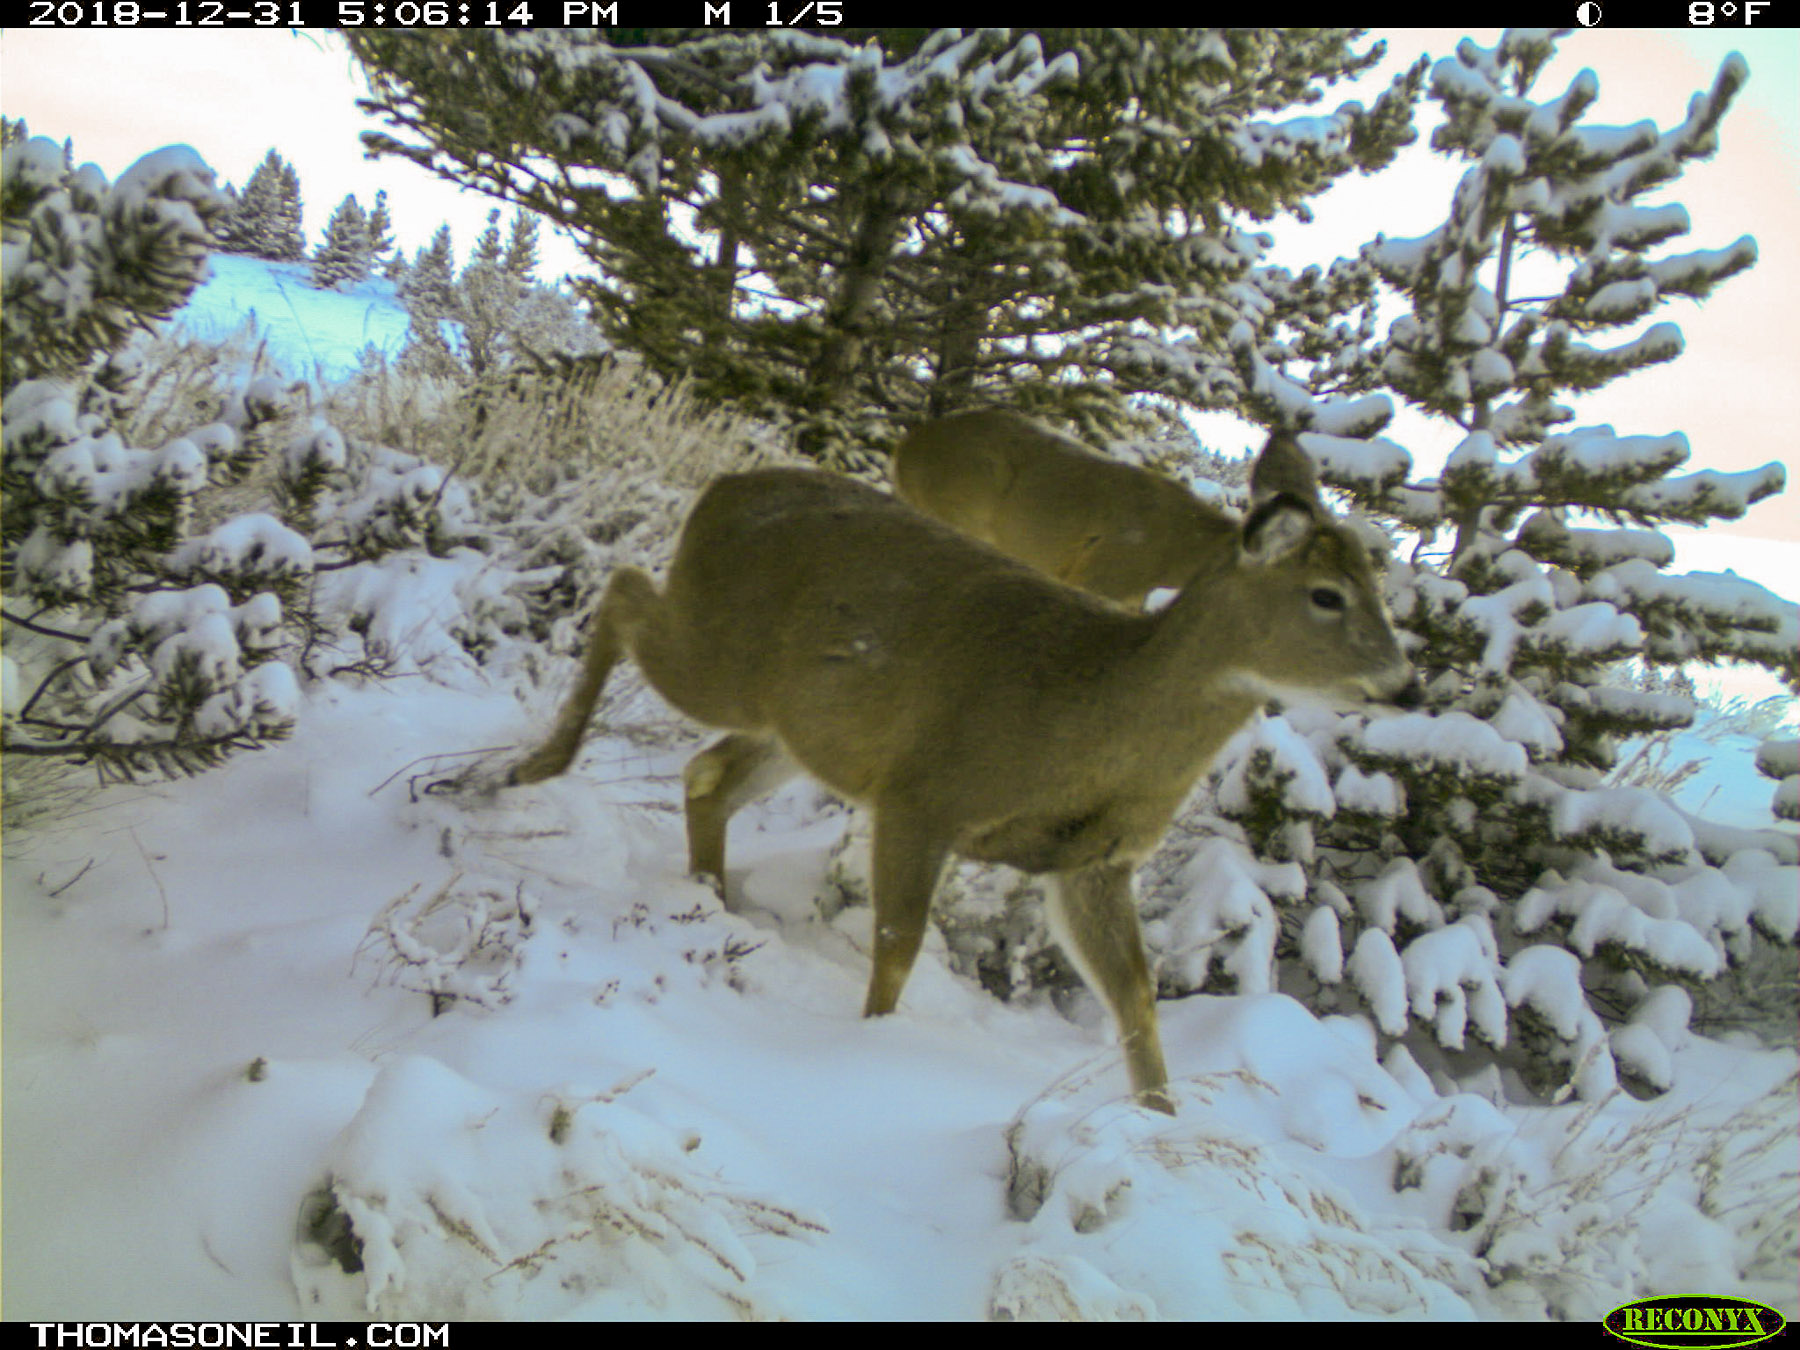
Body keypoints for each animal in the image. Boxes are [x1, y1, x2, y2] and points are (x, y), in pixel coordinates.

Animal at [507, 431, 1417, 1114]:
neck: (1089, 718)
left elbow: (1135, 995)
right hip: (719, 651)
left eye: (1377, 586)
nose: (1405, 683)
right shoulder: (924, 792)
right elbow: (898, 946)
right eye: (1328, 594)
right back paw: (536, 765)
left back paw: (709, 900)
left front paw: (1159, 1123)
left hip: (797, 726)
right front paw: (866, 1045)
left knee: (706, 773)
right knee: (626, 590)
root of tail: (720, 490)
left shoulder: (1092, 862)